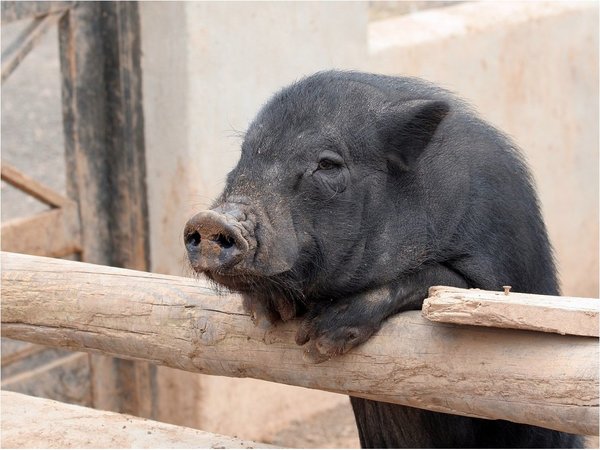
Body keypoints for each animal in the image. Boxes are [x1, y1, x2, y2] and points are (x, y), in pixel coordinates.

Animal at [184, 72, 580, 448]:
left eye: (327, 164)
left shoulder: (499, 269)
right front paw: (269, 316)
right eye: (244, 155)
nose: (210, 220)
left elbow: (441, 281)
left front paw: (319, 341)